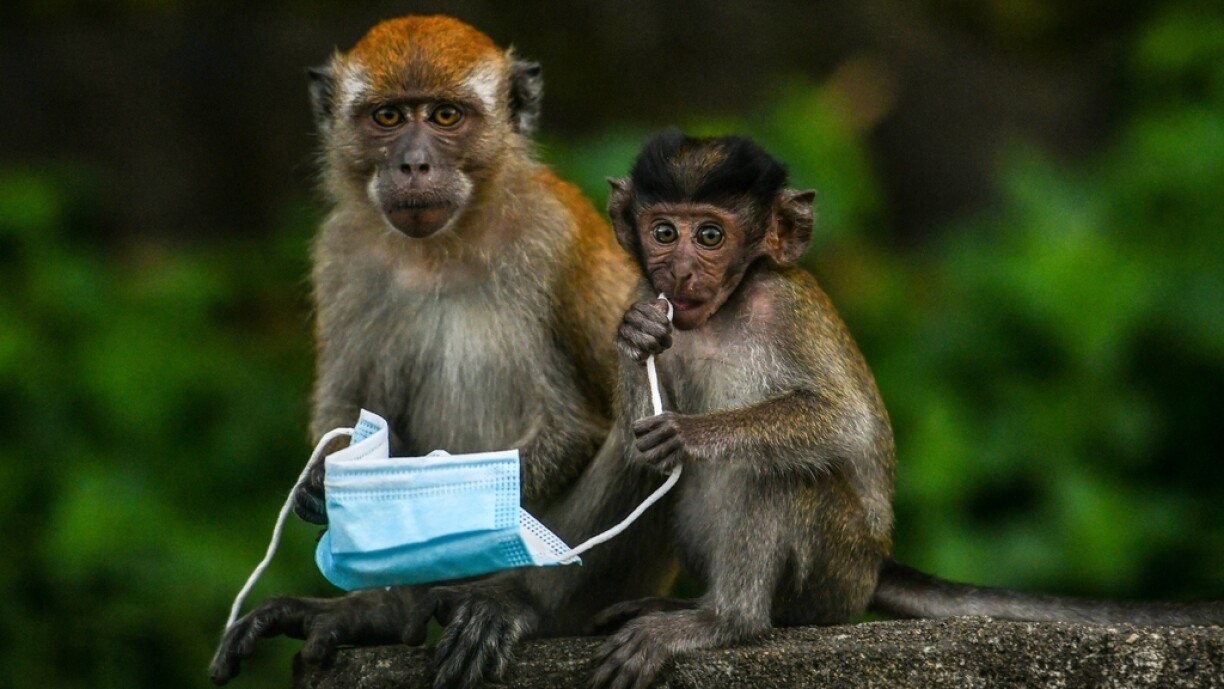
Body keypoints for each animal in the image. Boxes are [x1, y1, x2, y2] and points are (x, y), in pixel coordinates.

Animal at [209, 16, 679, 687]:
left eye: (445, 115)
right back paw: (377, 609)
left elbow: (574, 425)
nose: (414, 162)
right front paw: (321, 488)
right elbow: (350, 405)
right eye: (387, 117)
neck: (443, 247)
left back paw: (513, 602)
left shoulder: (549, 239)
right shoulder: (342, 255)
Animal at [591, 130, 1224, 689]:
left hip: (838, 573)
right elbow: (637, 448)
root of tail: (876, 566)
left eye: (710, 235)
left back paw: (725, 620)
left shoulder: (784, 309)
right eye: (664, 232)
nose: (680, 271)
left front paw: (692, 433)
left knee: (785, 472)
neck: (721, 313)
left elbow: (843, 423)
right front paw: (637, 335)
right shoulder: (642, 291)